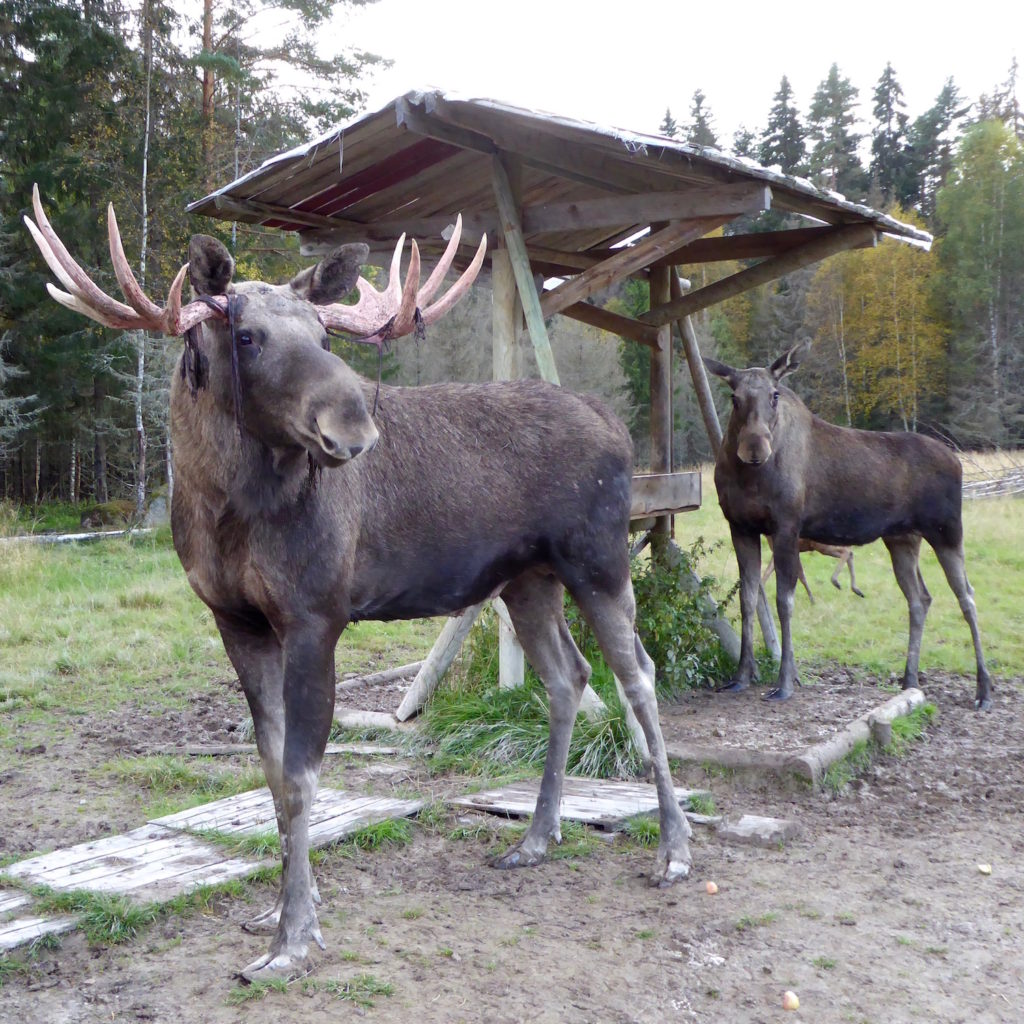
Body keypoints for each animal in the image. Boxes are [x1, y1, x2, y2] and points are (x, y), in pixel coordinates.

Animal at [25, 190, 696, 983]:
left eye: (323, 330)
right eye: (245, 334)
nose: (350, 421)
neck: (223, 512)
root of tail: (614, 424)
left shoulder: (317, 613)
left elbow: (302, 775)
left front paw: (292, 938)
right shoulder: (234, 618)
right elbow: (269, 771)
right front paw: (281, 911)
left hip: (597, 560)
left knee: (638, 675)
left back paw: (673, 850)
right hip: (525, 579)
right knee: (568, 676)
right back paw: (537, 837)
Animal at [704, 344, 991, 712]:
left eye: (774, 395)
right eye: (734, 397)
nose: (754, 448)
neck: (749, 478)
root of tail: (957, 461)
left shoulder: (786, 526)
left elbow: (785, 601)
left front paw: (785, 682)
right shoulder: (740, 527)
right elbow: (748, 597)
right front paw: (741, 677)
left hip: (947, 530)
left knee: (966, 596)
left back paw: (983, 689)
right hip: (902, 538)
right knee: (920, 598)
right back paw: (910, 679)